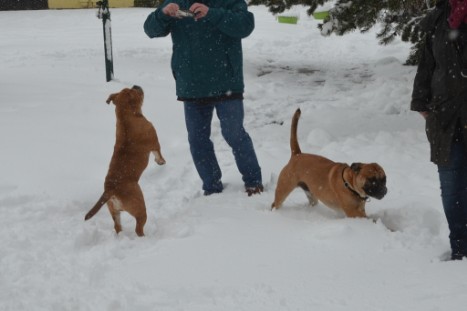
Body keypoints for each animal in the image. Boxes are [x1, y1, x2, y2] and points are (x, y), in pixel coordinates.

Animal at [84, 85, 166, 236]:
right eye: (134, 91)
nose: (136, 85)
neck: (125, 116)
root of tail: (110, 189)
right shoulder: (154, 141)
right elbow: (158, 152)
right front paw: (161, 161)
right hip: (140, 209)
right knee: (138, 229)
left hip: (114, 212)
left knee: (118, 227)